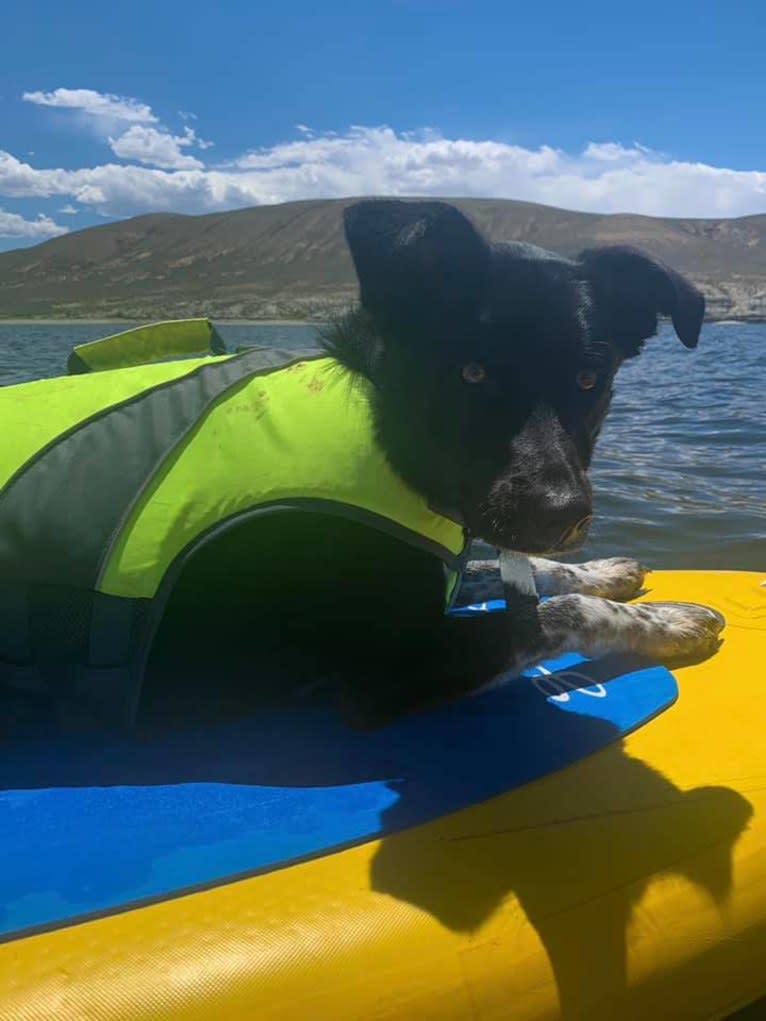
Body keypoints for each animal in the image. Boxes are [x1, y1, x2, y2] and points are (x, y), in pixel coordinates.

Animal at [148, 199, 727, 726]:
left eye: (589, 379)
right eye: (471, 373)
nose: (564, 516)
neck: (385, 430)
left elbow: (508, 570)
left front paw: (600, 571)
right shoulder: (389, 662)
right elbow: (561, 611)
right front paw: (666, 620)